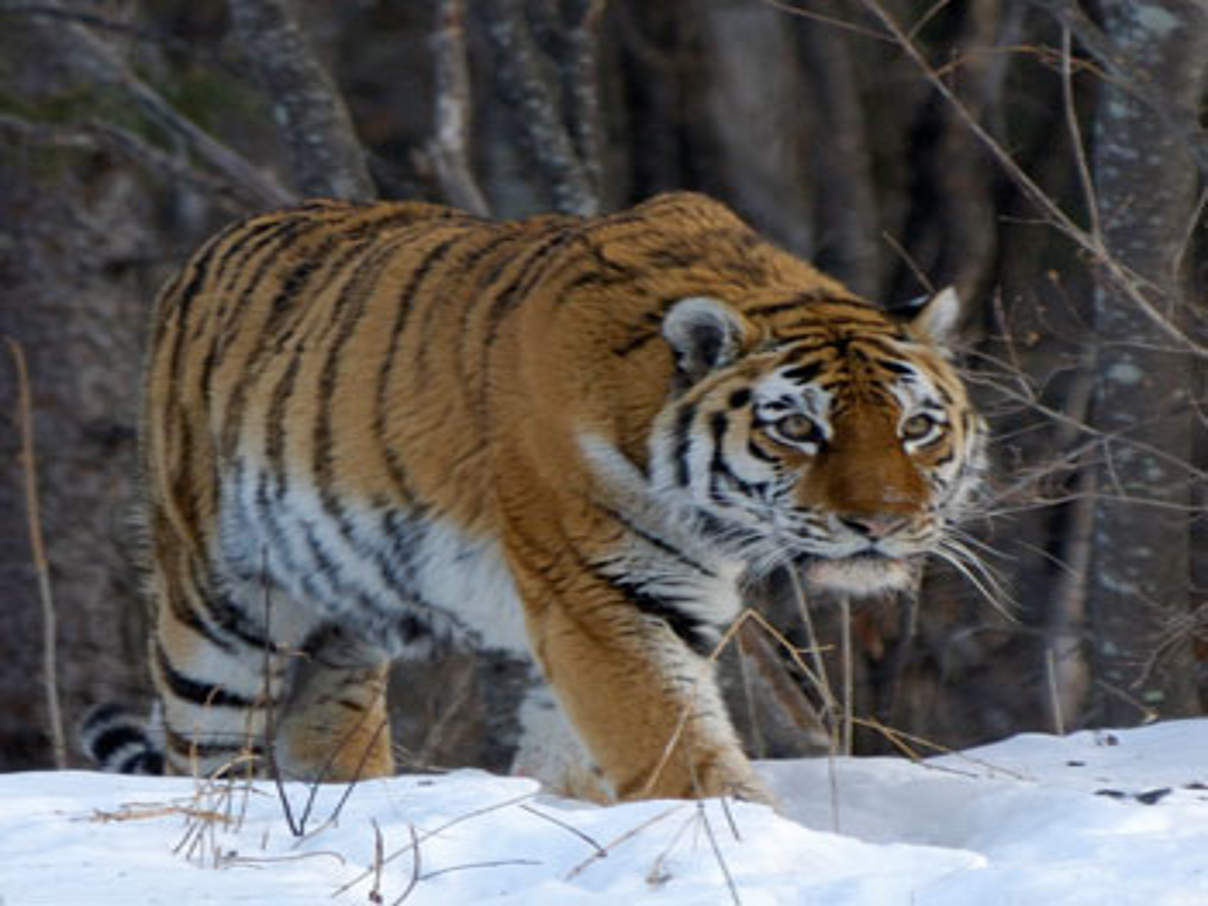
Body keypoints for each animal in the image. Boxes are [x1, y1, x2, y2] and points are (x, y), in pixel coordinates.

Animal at [82, 193, 990, 806]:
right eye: (798, 428)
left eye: (916, 427)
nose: (883, 523)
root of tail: (211, 247)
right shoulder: (601, 595)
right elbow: (673, 744)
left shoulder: (656, 608)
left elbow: (581, 751)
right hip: (219, 614)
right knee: (205, 750)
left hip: (341, 626)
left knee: (323, 730)